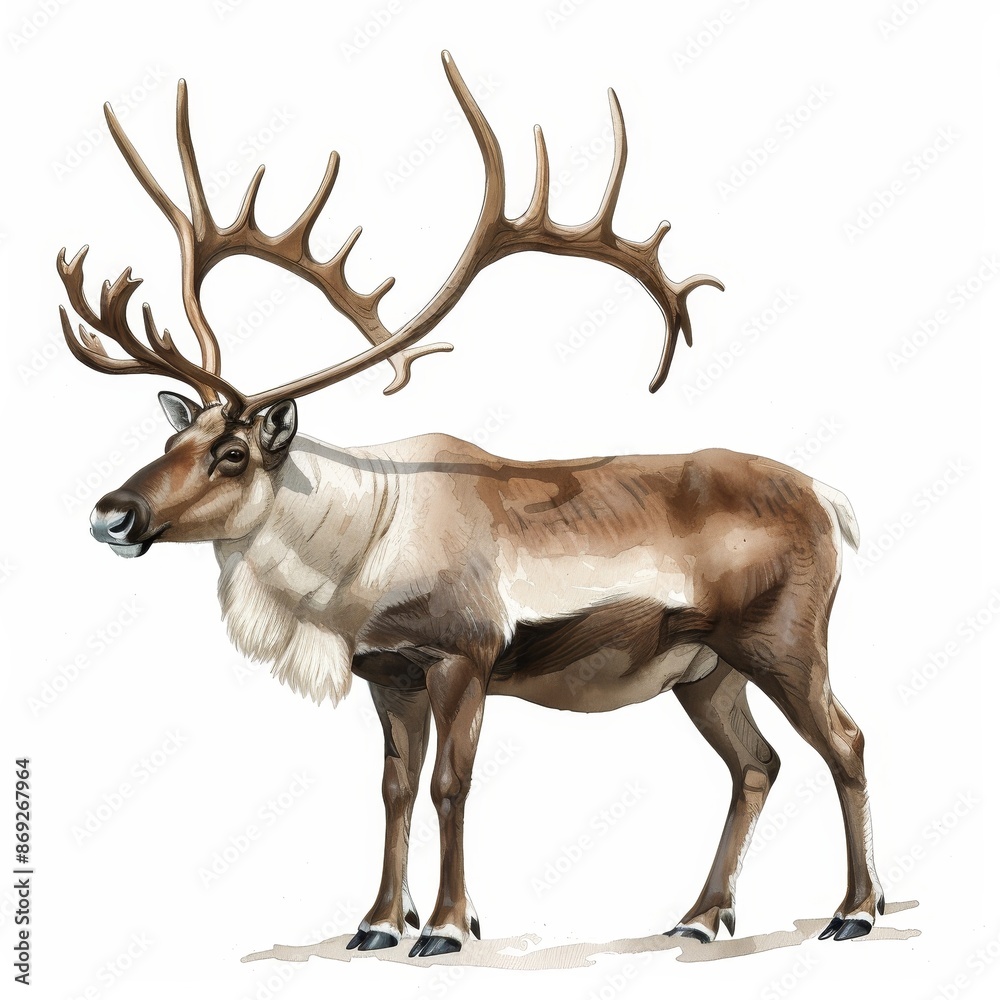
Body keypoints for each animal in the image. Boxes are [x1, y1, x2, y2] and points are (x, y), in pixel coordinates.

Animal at [58, 52, 882, 957]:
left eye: (231, 453)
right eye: (175, 439)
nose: (111, 514)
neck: (355, 553)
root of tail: (828, 499)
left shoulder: (465, 654)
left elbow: (451, 784)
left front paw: (449, 926)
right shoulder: (389, 672)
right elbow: (393, 788)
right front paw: (379, 922)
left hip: (783, 643)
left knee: (846, 741)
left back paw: (855, 910)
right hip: (705, 669)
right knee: (756, 763)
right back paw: (701, 917)